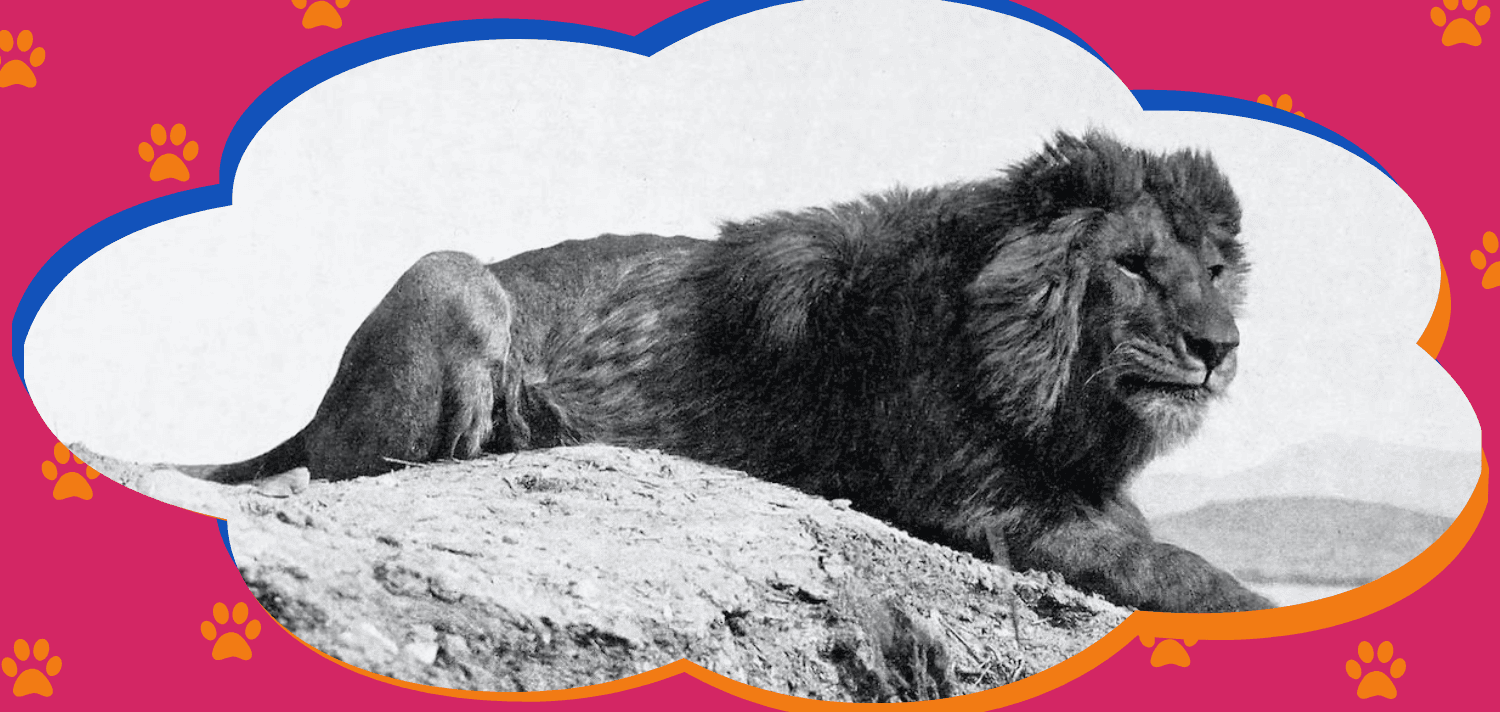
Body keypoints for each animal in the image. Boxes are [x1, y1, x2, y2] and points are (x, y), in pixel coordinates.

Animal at [186, 131, 1274, 613]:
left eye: (1217, 269)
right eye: (1134, 265)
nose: (1219, 348)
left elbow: (1153, 542)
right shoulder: (978, 505)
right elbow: (1175, 567)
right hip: (449, 273)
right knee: (366, 461)